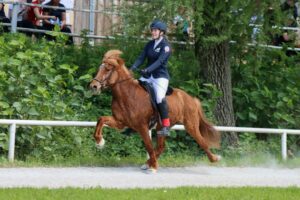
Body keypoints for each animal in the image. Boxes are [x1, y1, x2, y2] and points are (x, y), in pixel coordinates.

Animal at [89, 49, 220, 173]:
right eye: (100, 68)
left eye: (107, 69)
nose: (93, 86)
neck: (127, 94)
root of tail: (191, 99)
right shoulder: (120, 123)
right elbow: (101, 119)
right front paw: (99, 142)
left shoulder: (142, 127)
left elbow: (148, 146)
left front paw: (154, 167)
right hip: (161, 127)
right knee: (161, 146)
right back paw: (148, 163)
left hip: (190, 125)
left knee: (202, 141)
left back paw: (215, 158)